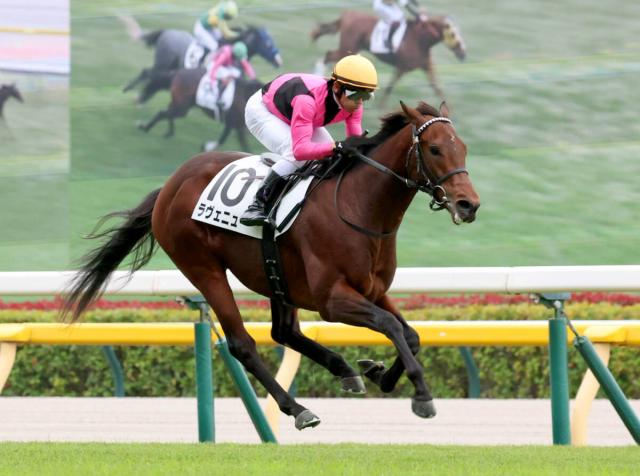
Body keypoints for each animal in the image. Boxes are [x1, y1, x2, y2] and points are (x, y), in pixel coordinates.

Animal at [61, 101, 480, 430]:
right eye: (434, 148)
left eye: (463, 148)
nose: (468, 205)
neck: (360, 206)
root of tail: (170, 185)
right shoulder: (333, 300)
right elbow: (391, 326)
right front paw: (421, 393)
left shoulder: (373, 290)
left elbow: (409, 333)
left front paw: (380, 374)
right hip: (203, 267)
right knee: (242, 343)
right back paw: (297, 408)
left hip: (276, 274)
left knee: (284, 332)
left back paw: (344, 371)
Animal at [123, 24, 282, 104]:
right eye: (268, 44)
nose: (279, 60)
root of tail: (166, 32)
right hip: (163, 64)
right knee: (148, 73)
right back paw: (130, 91)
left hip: (167, 67)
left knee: (148, 74)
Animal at [311, 12, 466, 104]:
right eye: (452, 33)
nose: (463, 53)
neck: (420, 40)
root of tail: (346, 15)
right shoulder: (402, 67)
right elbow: (389, 88)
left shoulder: (426, 66)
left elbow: (437, 88)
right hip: (347, 48)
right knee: (327, 56)